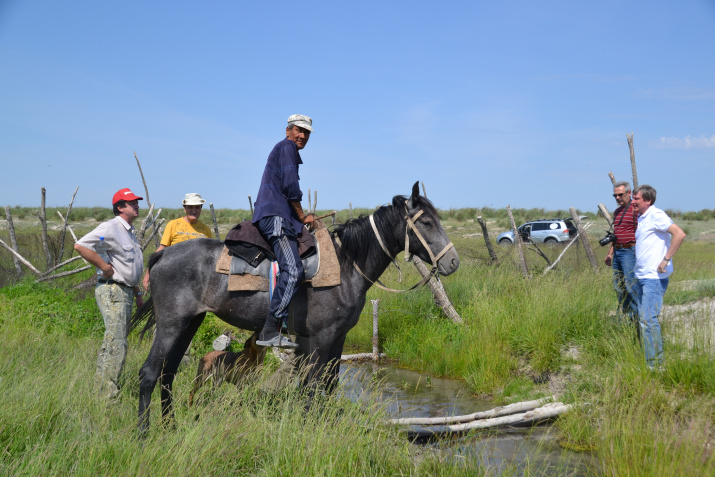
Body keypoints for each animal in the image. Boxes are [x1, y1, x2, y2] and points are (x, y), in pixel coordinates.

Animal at [131, 181, 462, 432]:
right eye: (426, 222)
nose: (453, 262)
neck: (346, 266)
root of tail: (163, 254)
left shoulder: (336, 338)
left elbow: (328, 384)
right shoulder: (321, 338)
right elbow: (313, 386)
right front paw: (309, 427)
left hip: (190, 323)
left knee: (168, 373)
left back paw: (171, 426)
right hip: (171, 325)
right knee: (149, 373)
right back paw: (144, 433)